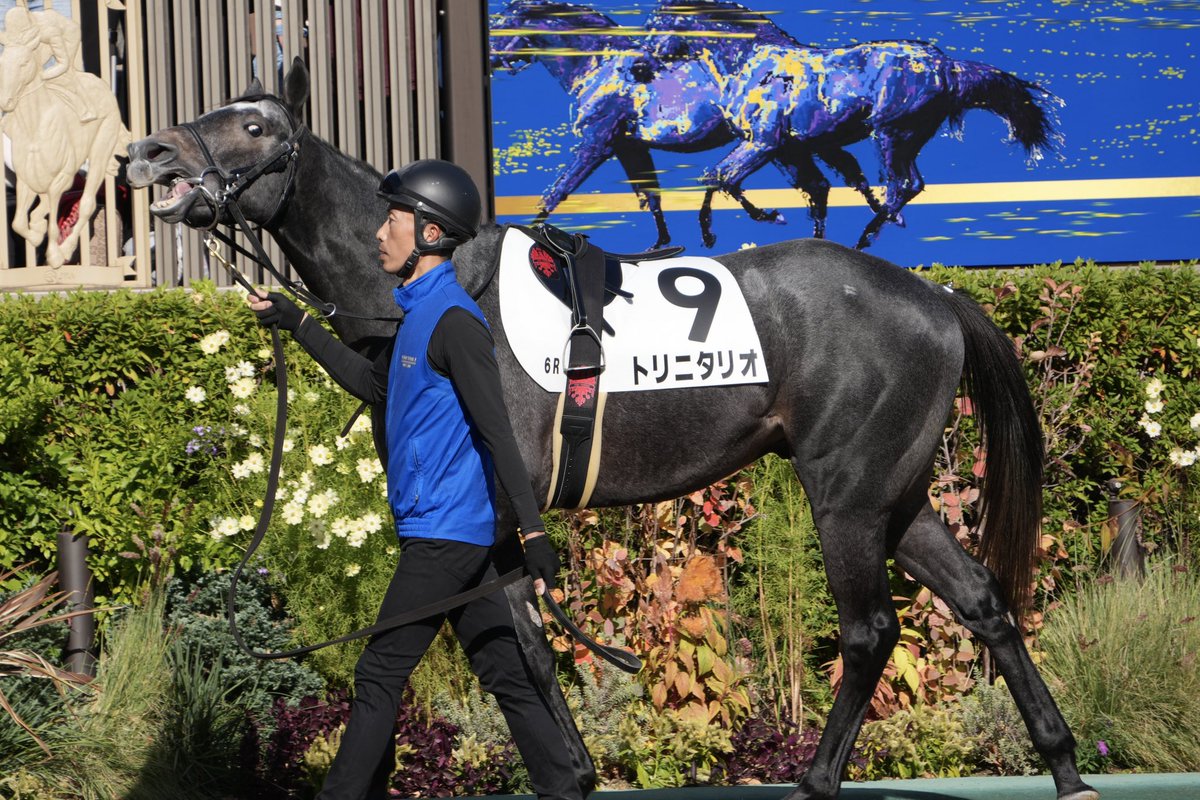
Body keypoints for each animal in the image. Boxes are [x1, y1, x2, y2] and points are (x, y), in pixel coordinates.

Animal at [126, 60, 1099, 800]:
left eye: (254, 125)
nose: (148, 152)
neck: (445, 288)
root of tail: (934, 297)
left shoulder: (493, 518)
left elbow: (519, 649)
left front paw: (572, 771)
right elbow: (514, 651)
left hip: (848, 497)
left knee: (868, 634)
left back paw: (818, 779)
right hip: (898, 494)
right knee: (981, 601)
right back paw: (1064, 766)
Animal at [489, 0, 883, 247]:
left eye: (498, 25)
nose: (492, 61)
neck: (599, 65)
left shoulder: (597, 144)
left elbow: (556, 192)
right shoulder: (628, 146)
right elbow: (650, 194)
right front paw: (660, 244)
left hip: (781, 148)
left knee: (825, 183)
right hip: (793, 148)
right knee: (827, 183)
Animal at [643, 0, 1062, 249]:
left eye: (657, 24)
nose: (640, 67)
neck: (752, 64)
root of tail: (947, 66)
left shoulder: (763, 143)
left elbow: (721, 177)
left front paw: (755, 220)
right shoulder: (790, 150)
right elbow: (818, 191)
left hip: (895, 134)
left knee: (905, 184)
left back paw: (867, 236)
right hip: (903, 136)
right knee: (901, 186)